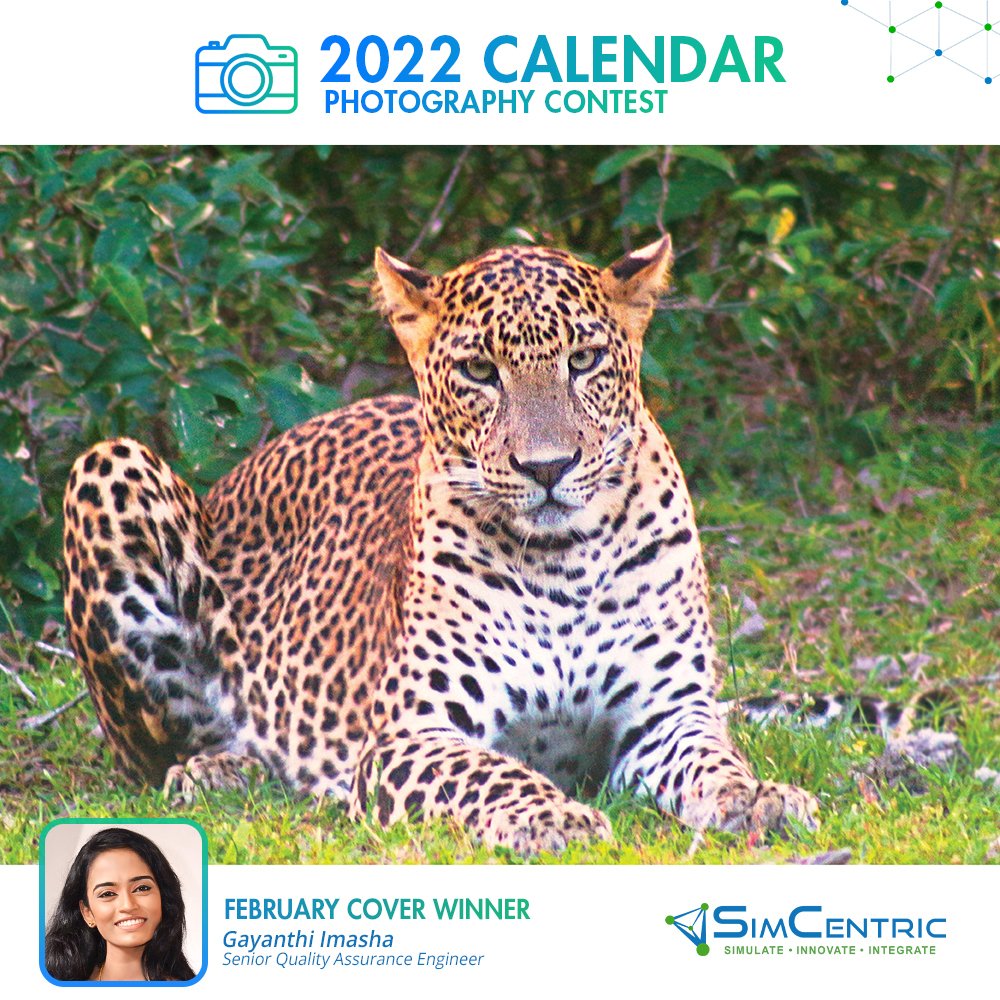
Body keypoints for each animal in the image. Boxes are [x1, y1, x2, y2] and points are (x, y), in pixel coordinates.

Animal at [62, 237, 818, 854]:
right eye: (480, 371)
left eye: (585, 360)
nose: (548, 467)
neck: (566, 560)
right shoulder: (411, 735)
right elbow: (487, 774)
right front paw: (551, 816)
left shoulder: (667, 713)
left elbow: (717, 761)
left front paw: (761, 798)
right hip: (109, 462)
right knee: (157, 751)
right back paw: (222, 770)